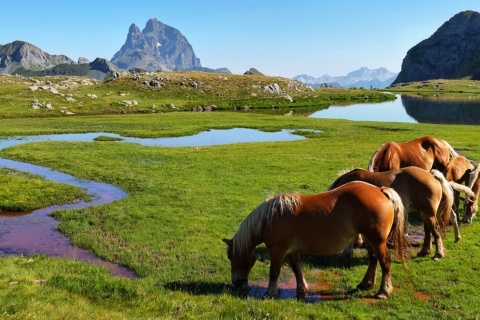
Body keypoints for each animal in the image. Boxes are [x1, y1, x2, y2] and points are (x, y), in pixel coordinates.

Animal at [221, 182, 404, 300]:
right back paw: (366, 284)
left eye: (231, 256)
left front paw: (269, 293)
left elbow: (274, 272)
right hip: (369, 239)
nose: (237, 282)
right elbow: (297, 270)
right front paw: (303, 288)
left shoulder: (278, 251)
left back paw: (384, 291)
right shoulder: (292, 251)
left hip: (377, 241)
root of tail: (380, 190)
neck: (270, 218)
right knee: (373, 260)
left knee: (385, 262)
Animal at [328, 166, 466, 258]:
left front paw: (347, 251)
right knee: (428, 231)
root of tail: (431, 174)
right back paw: (425, 250)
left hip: (429, 213)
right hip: (425, 213)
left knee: (435, 230)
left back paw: (438, 253)